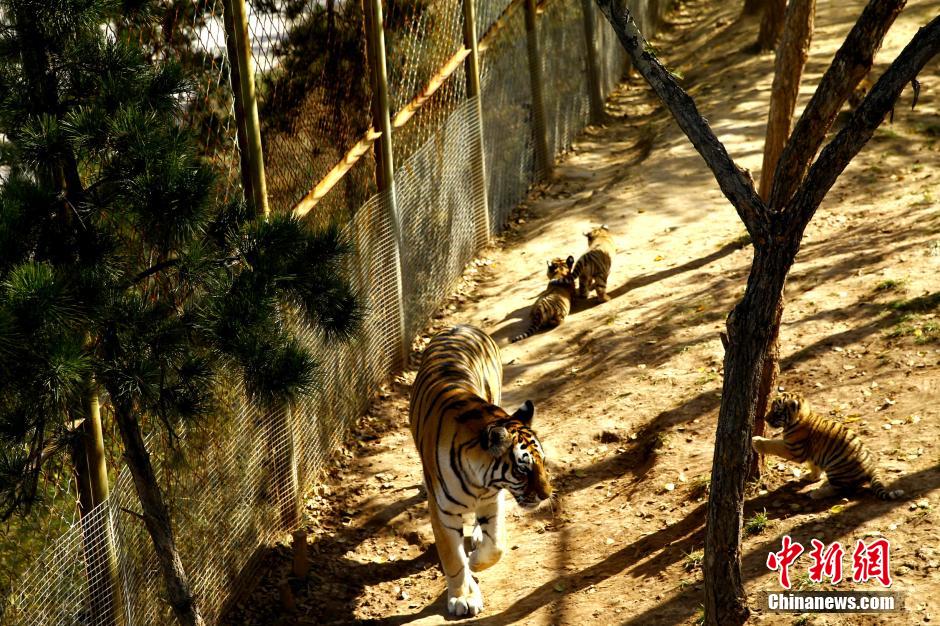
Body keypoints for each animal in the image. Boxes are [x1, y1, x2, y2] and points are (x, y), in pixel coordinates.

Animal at [409, 324, 552, 617]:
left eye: (543, 463)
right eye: (523, 470)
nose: (546, 495)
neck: (480, 480)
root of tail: (464, 325)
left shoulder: (492, 499)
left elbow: (496, 544)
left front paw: (475, 561)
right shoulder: (442, 512)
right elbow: (453, 560)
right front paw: (462, 596)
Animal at [752, 393, 903, 500]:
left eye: (777, 411)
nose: (765, 418)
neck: (802, 416)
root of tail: (871, 466)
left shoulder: (794, 449)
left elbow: (774, 445)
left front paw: (756, 441)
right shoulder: (812, 454)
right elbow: (814, 465)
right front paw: (812, 477)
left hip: (836, 468)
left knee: (841, 489)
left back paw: (817, 493)